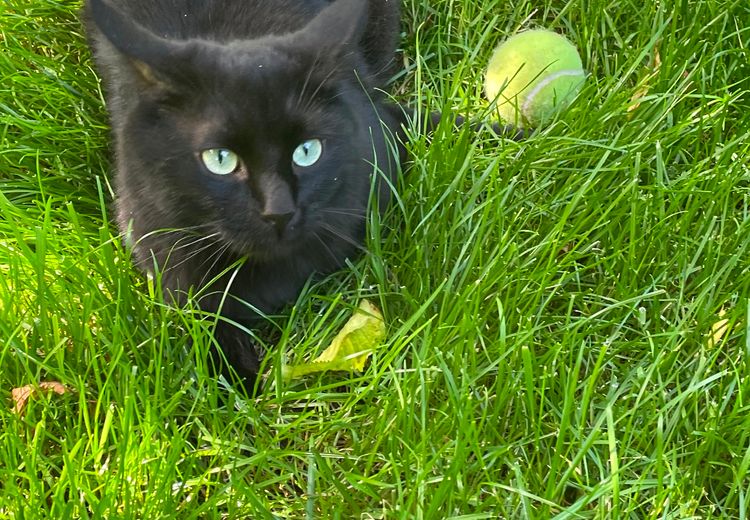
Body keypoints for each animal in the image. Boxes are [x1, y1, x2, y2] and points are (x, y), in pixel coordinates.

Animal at [85, 0, 408, 390]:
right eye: (220, 159)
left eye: (307, 151)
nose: (279, 211)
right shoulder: (170, 265)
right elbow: (208, 333)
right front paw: (238, 385)